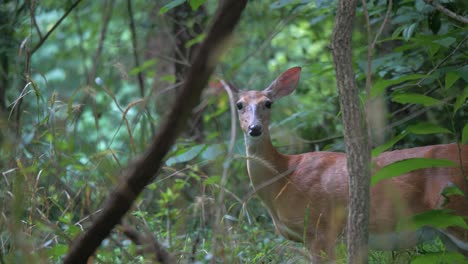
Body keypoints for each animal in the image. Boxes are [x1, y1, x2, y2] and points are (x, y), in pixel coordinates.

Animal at [224, 66, 468, 262]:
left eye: (268, 103)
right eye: (239, 105)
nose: (254, 128)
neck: (283, 177)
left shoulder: (320, 229)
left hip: (457, 210)